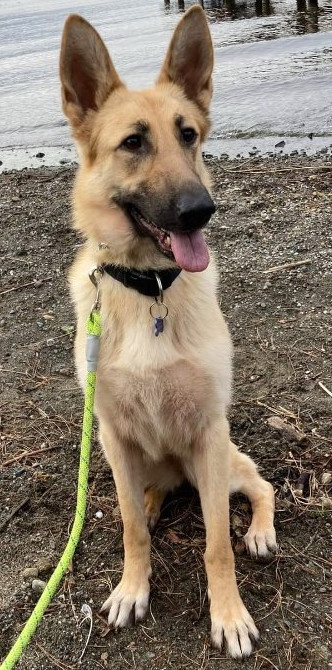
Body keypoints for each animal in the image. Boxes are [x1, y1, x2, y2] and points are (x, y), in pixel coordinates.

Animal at [60, 6, 278, 660]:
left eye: (189, 135)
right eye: (133, 142)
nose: (199, 210)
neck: (148, 289)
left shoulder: (209, 431)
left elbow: (217, 544)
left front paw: (229, 615)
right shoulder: (110, 433)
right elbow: (130, 527)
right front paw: (134, 587)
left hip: (221, 460)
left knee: (259, 484)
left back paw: (260, 529)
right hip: (136, 457)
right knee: (144, 498)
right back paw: (155, 503)